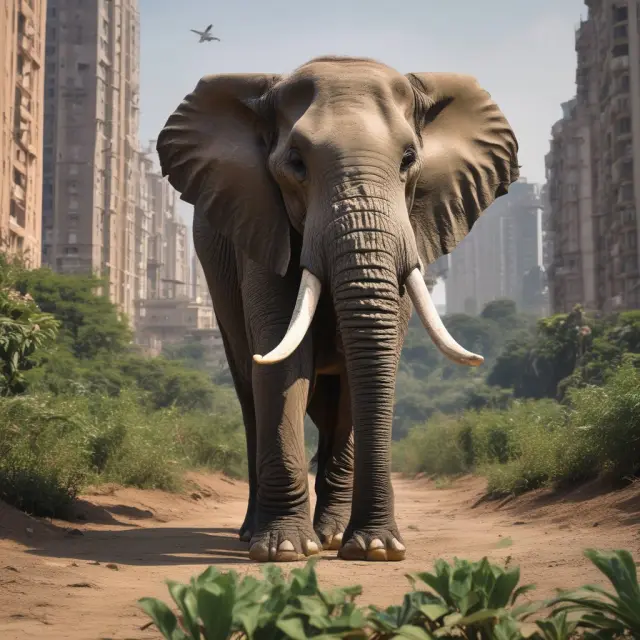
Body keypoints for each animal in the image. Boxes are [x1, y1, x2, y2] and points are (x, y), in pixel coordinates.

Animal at [156, 56, 519, 563]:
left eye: (408, 160)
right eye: (296, 163)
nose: (387, 545)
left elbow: (361, 362)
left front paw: (374, 548)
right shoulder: (261, 223)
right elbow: (282, 357)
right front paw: (285, 549)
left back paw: (328, 534)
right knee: (249, 388)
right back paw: (253, 533)